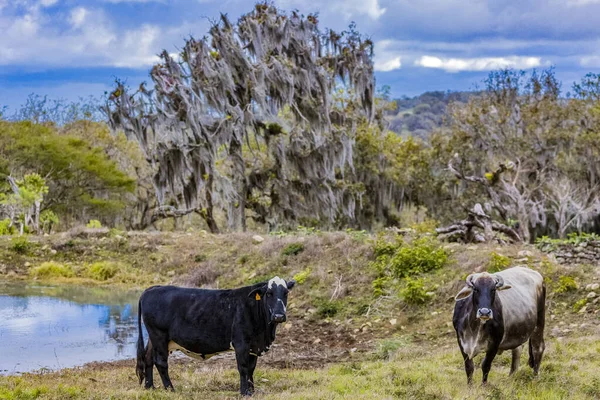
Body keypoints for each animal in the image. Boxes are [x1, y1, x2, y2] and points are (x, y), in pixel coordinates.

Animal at [136, 276, 296, 396]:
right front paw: (245, 393)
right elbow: (243, 368)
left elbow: (251, 368)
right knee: (160, 362)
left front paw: (252, 391)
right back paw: (170, 389)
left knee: (148, 357)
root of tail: (152, 289)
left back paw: (150, 387)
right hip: (159, 336)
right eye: (269, 293)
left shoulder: (254, 346)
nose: (279, 316)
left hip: (154, 339)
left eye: (286, 293)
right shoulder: (241, 344)